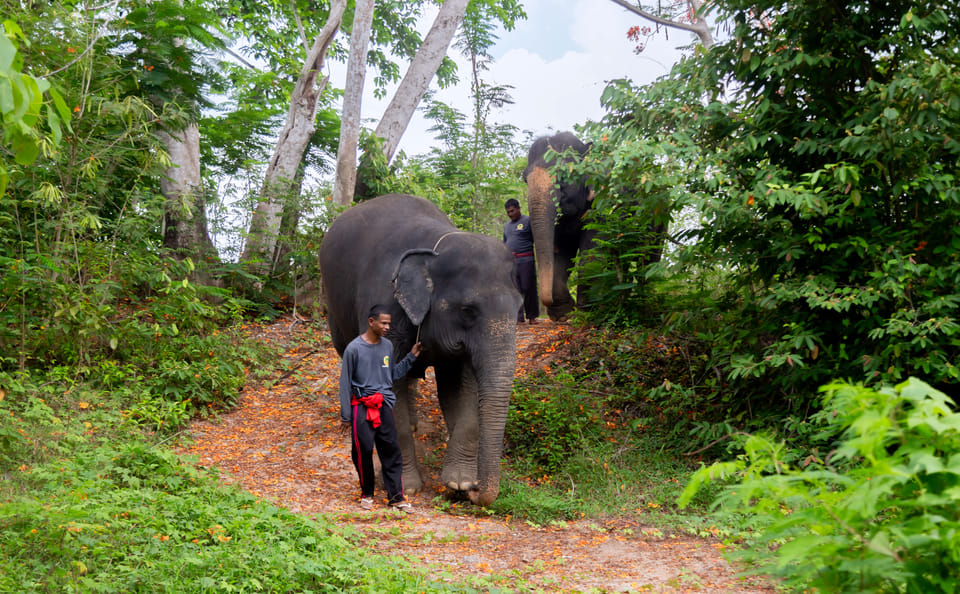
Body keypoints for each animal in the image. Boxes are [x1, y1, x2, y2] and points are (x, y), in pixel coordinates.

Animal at [319, 194, 522, 506]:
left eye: (519, 307)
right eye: (468, 310)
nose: (477, 490)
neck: (435, 249)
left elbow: (460, 387)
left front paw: (459, 482)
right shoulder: (387, 306)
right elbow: (392, 393)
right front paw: (410, 487)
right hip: (336, 312)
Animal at [523, 132, 595, 321]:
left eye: (564, 177)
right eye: (525, 179)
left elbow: (590, 255)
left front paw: (586, 313)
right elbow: (562, 255)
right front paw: (563, 314)